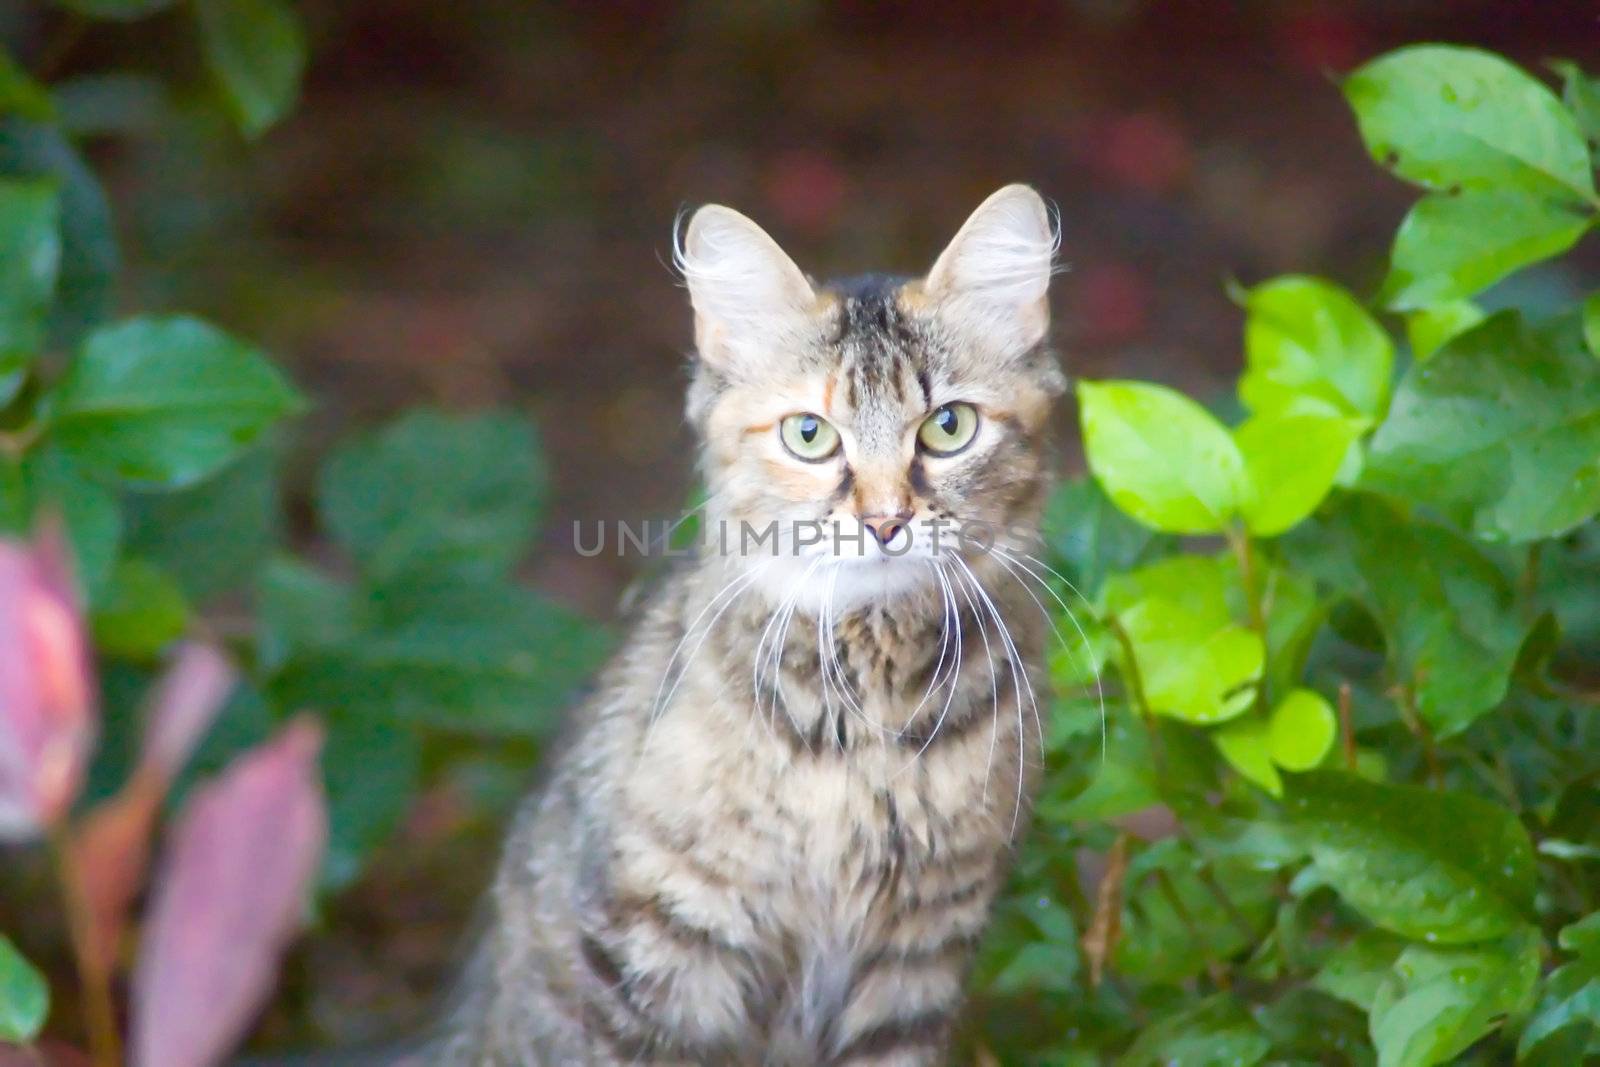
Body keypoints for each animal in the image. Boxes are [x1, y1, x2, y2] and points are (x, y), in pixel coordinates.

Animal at [432, 185, 1068, 1067]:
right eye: (810, 435)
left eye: (948, 427)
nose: (885, 521)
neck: (871, 719)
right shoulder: (653, 947)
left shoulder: (915, 963)